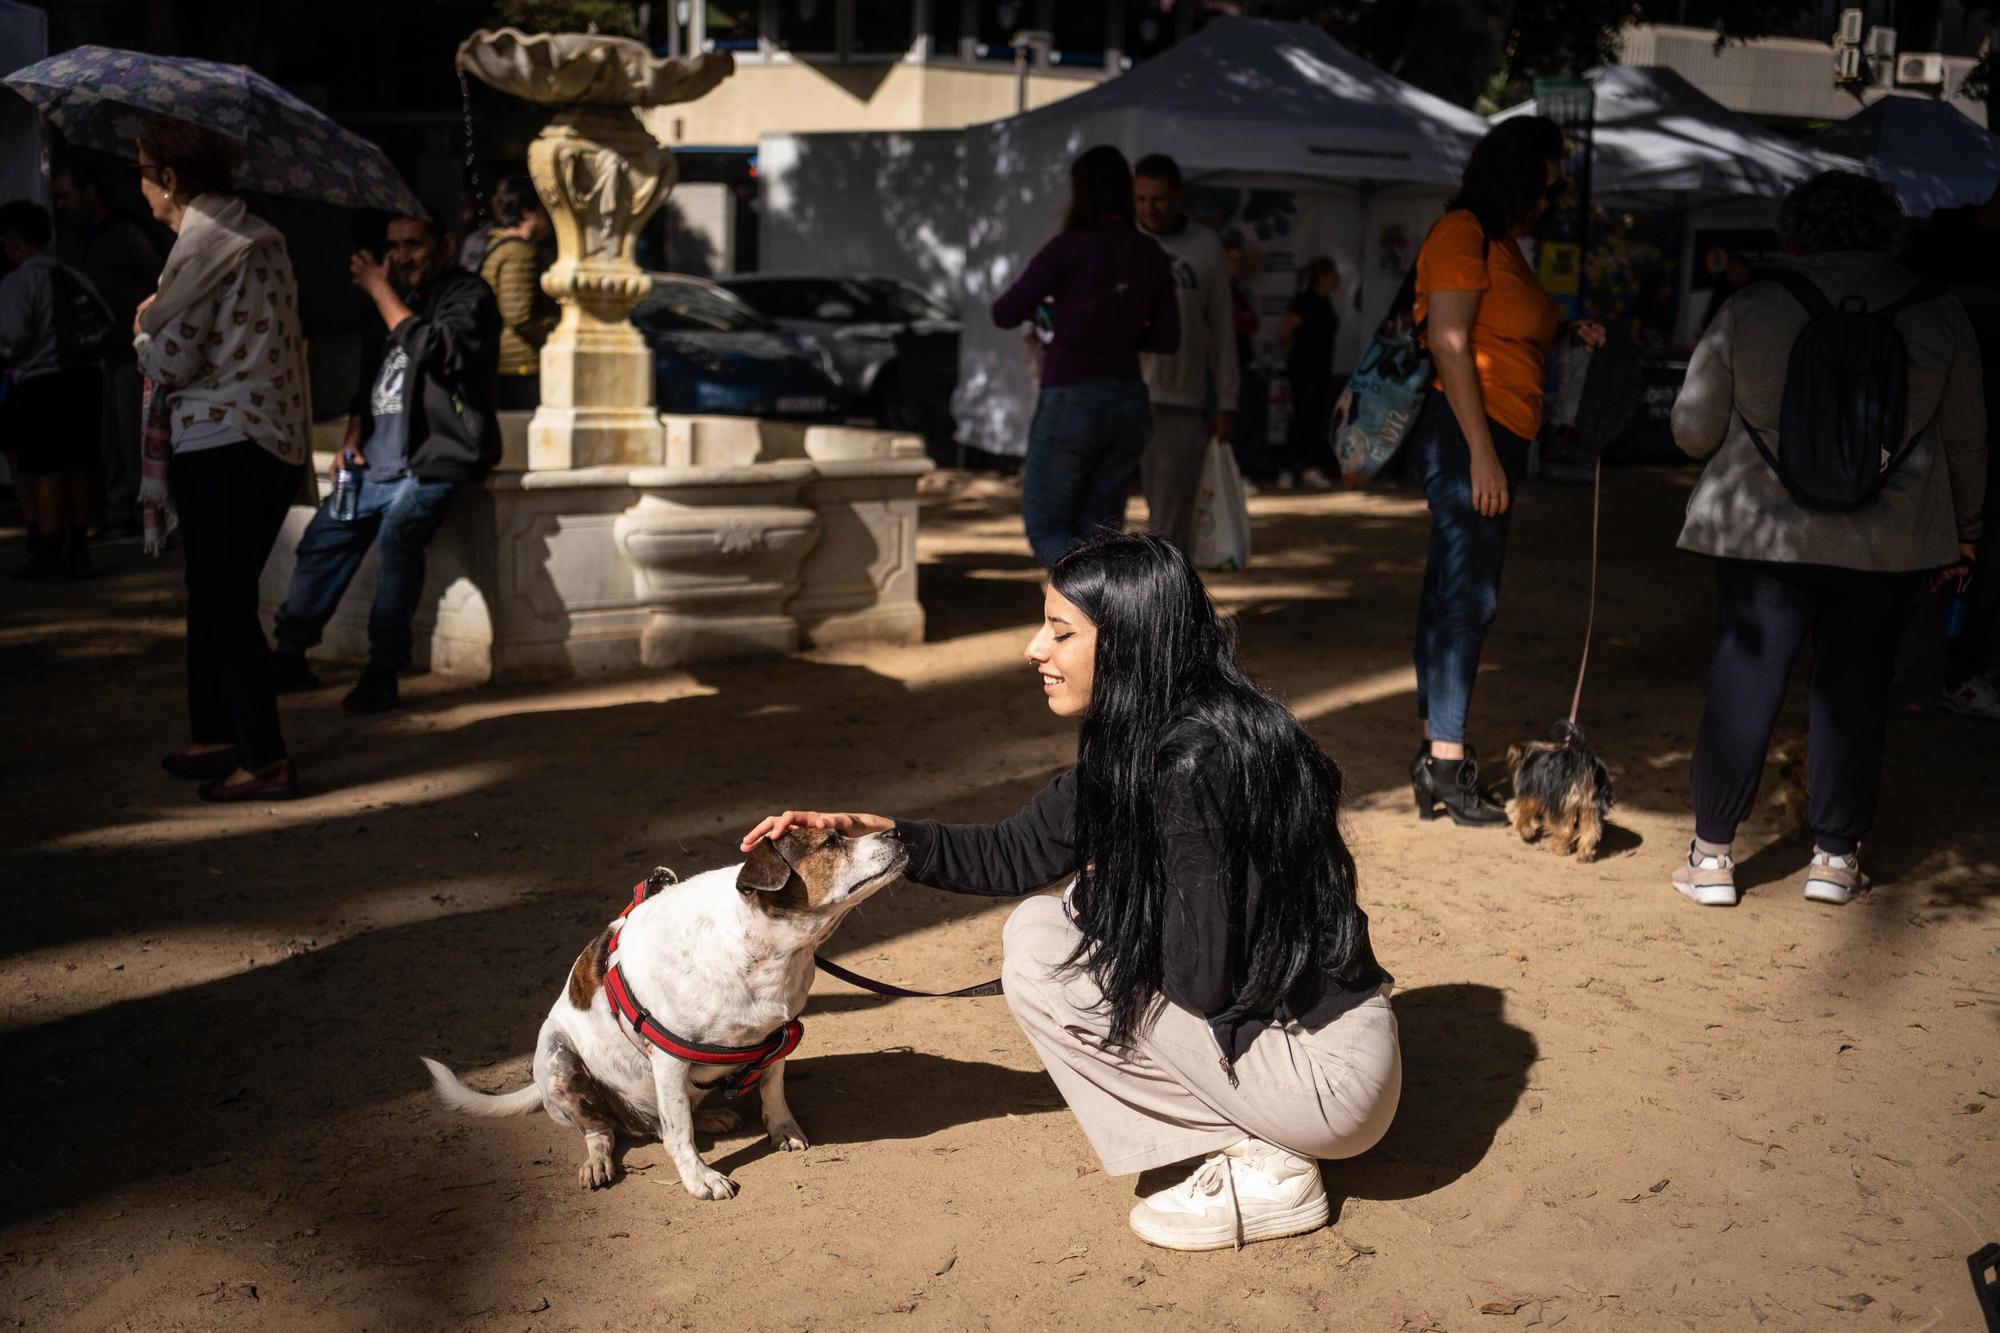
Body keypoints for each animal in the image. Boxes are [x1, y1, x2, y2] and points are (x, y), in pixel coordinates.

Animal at [422, 824, 908, 1200]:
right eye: (831, 842)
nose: (897, 831)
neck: (764, 949)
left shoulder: (778, 1037)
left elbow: (773, 1091)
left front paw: (782, 1129)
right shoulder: (670, 1060)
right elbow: (679, 1133)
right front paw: (700, 1179)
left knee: (664, 1120)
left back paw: (710, 1115)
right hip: (560, 1062)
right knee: (607, 1130)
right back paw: (599, 1159)